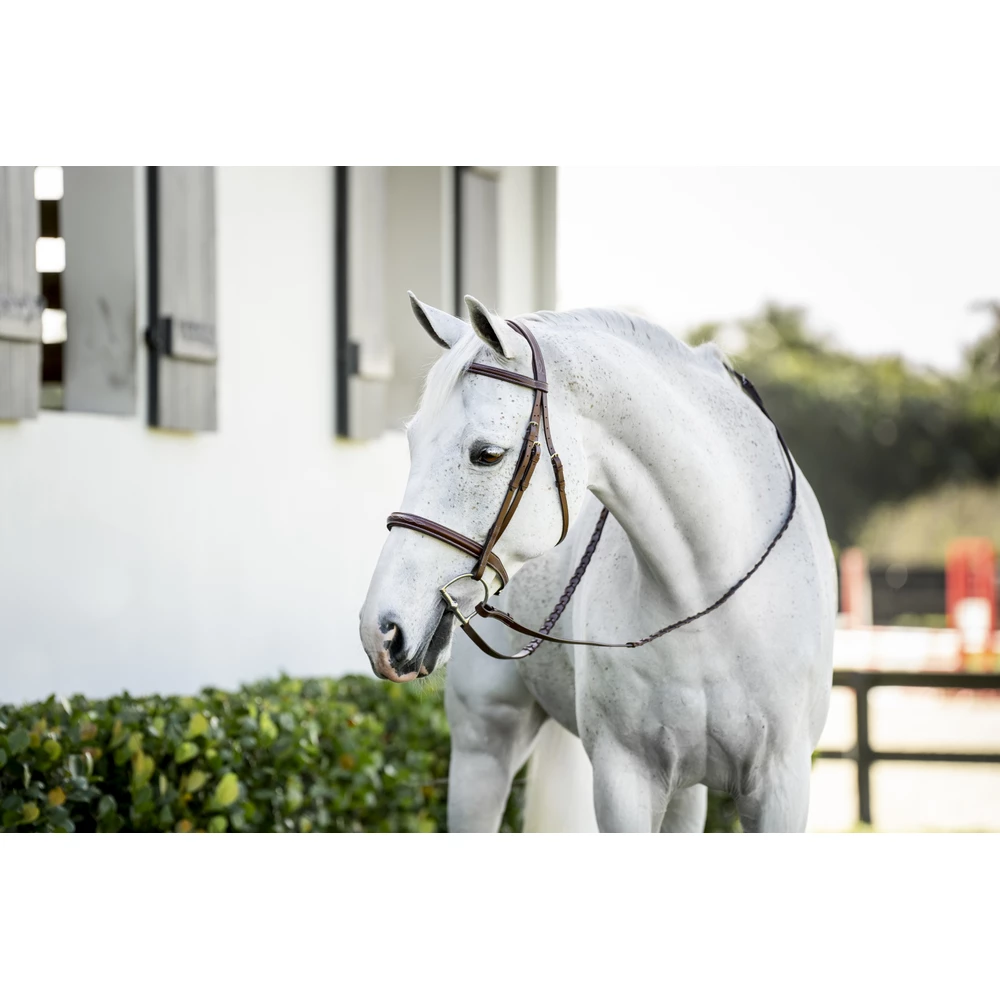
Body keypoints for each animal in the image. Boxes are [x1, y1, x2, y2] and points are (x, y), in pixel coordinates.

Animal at [359, 293, 837, 832]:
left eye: (487, 455)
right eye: (412, 442)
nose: (382, 630)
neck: (708, 600)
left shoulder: (781, 786)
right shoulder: (625, 779)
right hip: (485, 743)